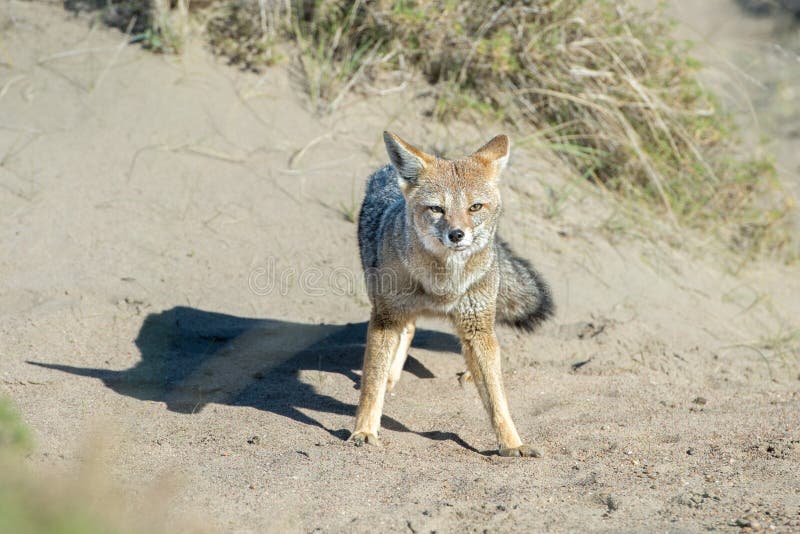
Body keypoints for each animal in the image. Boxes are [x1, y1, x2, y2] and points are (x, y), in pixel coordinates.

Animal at [352, 131, 554, 457]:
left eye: (475, 207)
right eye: (437, 209)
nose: (457, 234)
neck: (443, 284)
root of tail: (388, 170)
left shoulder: (477, 328)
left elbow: (497, 397)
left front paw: (512, 444)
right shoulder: (385, 317)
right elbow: (372, 382)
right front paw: (365, 430)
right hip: (384, 302)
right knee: (406, 331)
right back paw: (392, 376)